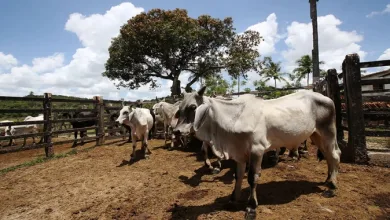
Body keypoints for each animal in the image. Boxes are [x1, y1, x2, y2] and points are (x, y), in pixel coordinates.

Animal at [174, 87, 342, 219]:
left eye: (193, 107)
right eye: (179, 108)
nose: (176, 131)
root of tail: (326, 97)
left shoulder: (257, 150)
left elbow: (252, 178)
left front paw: (251, 207)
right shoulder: (239, 153)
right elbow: (238, 176)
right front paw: (233, 200)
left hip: (328, 132)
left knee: (335, 155)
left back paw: (332, 186)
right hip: (316, 135)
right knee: (328, 156)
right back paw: (328, 179)